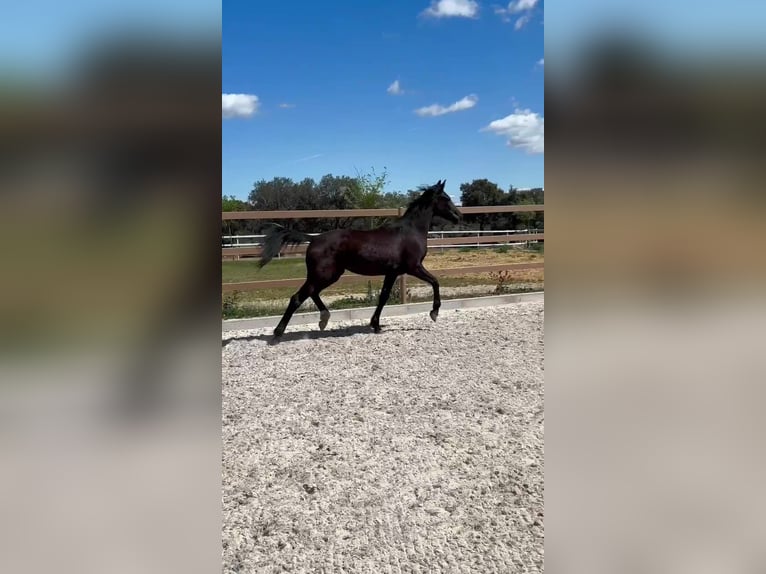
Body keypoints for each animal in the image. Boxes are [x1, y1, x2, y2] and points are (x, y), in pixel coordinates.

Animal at [258, 179, 461, 340]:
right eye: (446, 198)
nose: (459, 216)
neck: (409, 232)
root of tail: (313, 239)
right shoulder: (414, 267)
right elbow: (435, 281)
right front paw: (434, 312)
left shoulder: (392, 272)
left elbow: (384, 296)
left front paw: (376, 325)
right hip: (324, 274)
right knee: (298, 297)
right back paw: (278, 332)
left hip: (330, 274)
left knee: (312, 293)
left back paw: (323, 319)